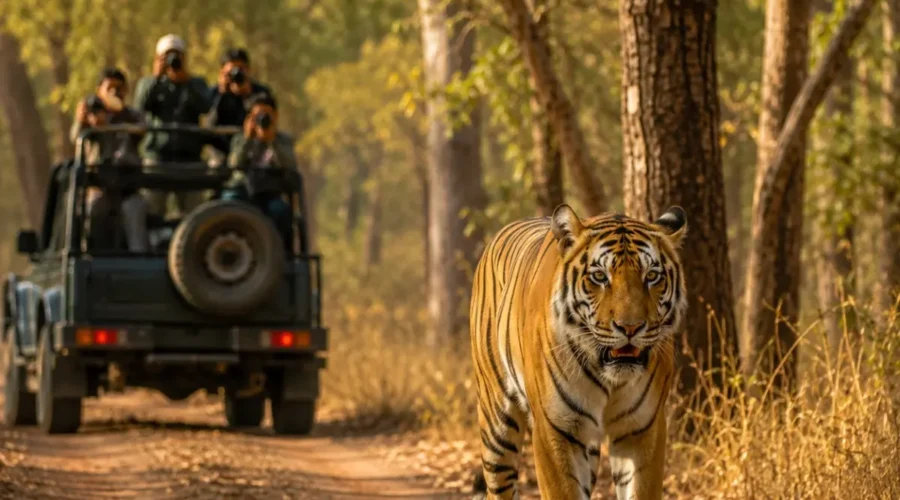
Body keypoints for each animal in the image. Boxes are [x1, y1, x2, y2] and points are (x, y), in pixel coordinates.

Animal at [469, 204, 687, 500]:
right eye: (599, 277)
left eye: (652, 276)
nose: (630, 327)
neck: (611, 378)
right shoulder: (555, 429)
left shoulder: (642, 428)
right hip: (496, 424)